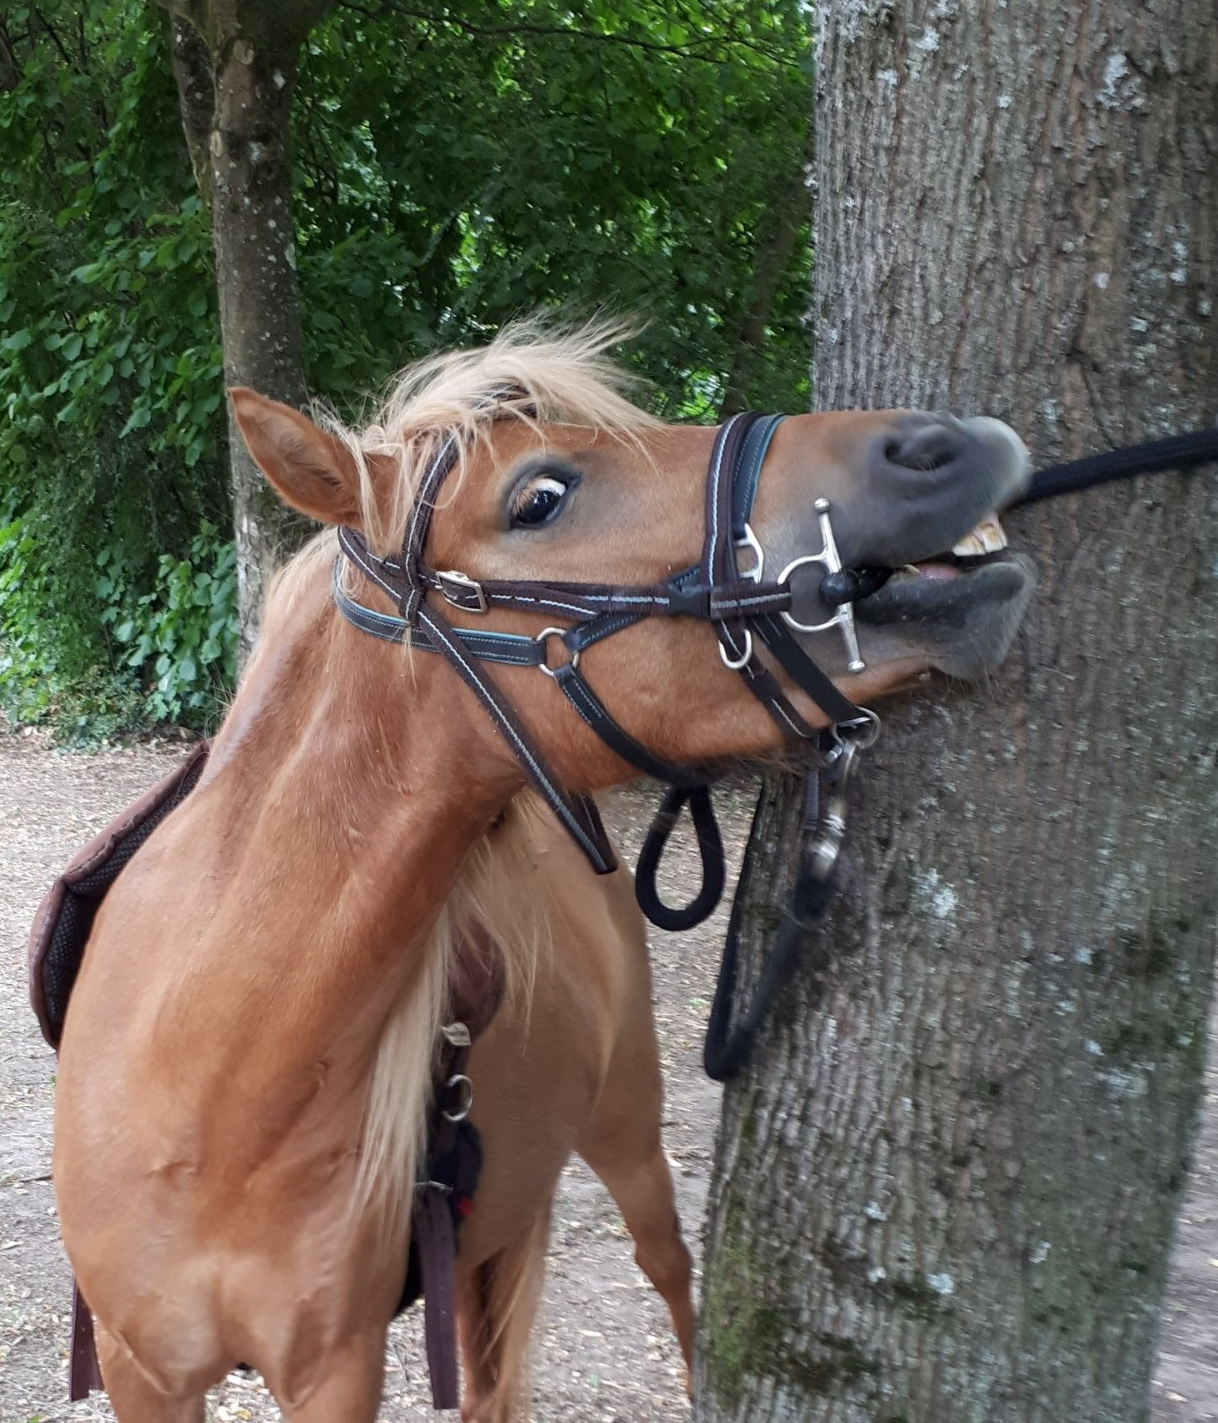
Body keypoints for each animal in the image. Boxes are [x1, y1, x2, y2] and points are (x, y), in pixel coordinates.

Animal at [51, 323, 1034, 1422]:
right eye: (538, 498)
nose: (946, 444)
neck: (208, 1084)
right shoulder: (143, 1367)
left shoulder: (336, 1368)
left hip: (627, 1135)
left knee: (670, 1273)